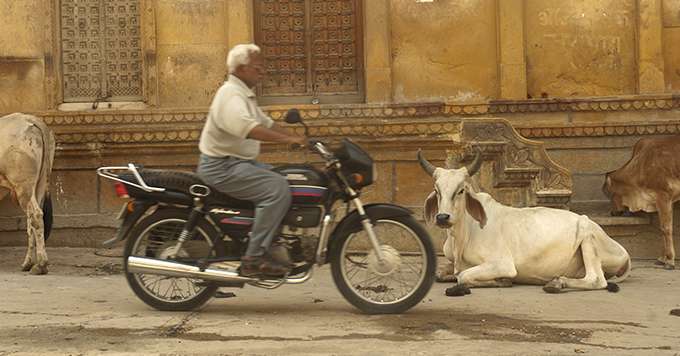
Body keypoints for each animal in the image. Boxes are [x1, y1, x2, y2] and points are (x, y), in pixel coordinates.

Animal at [0, 112, 54, 274]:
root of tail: (30, 119)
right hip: (39, 185)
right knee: (32, 222)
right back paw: (28, 263)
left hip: (24, 187)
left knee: (35, 215)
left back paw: (41, 265)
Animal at [418, 150, 636, 294]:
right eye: (437, 190)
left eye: (461, 190)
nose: (442, 217)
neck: (462, 236)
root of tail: (624, 253)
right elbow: (441, 274)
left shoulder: (502, 264)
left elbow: (463, 276)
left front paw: (501, 281)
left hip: (587, 233)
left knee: (597, 280)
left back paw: (557, 283)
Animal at [604, 136, 676, 270]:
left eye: (610, 194)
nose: (613, 212)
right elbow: (662, 229)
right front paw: (662, 259)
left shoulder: (663, 196)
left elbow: (666, 228)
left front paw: (669, 261)